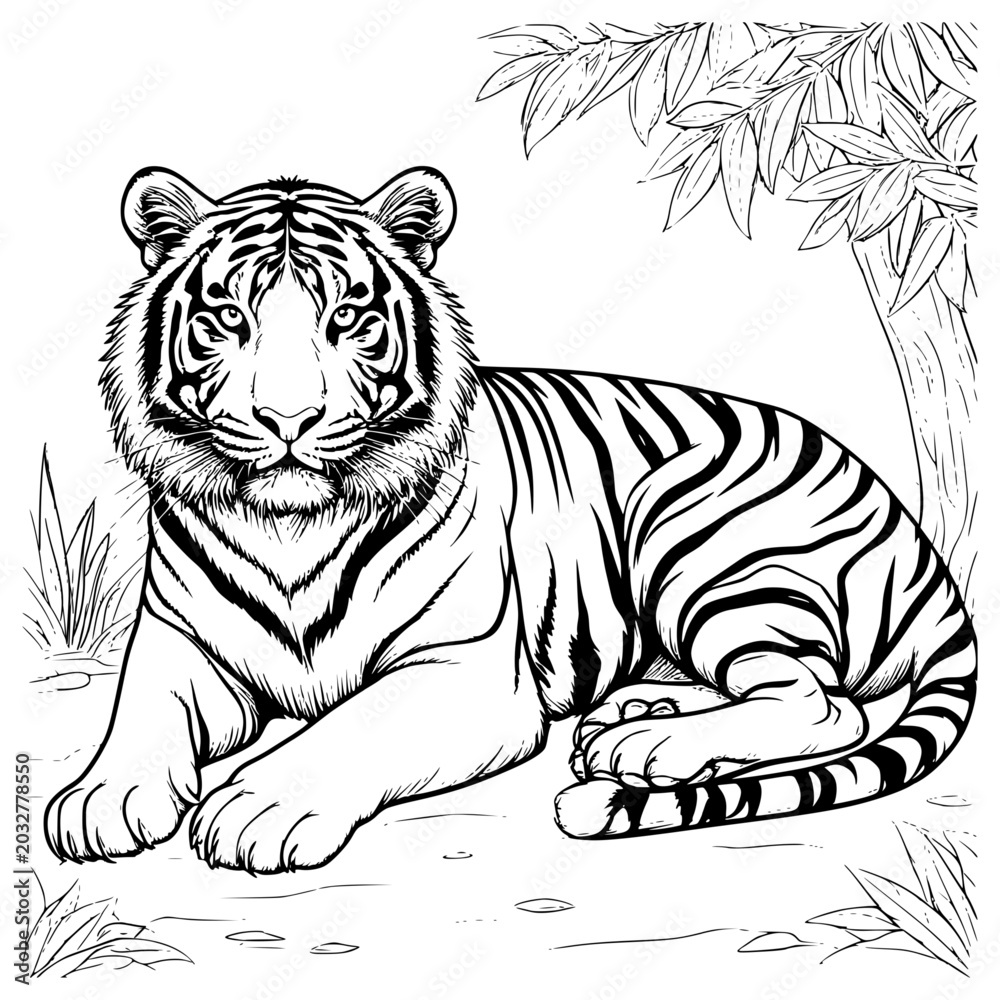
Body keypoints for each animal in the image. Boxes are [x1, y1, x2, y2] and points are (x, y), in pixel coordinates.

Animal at [44, 165, 976, 873]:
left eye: (347, 317)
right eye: (227, 319)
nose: (288, 418)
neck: (290, 526)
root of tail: (914, 532)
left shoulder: (463, 671)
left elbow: (348, 728)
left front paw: (260, 808)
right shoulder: (182, 643)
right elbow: (140, 715)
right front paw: (97, 797)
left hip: (701, 536)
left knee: (824, 706)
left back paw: (649, 750)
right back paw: (638, 714)